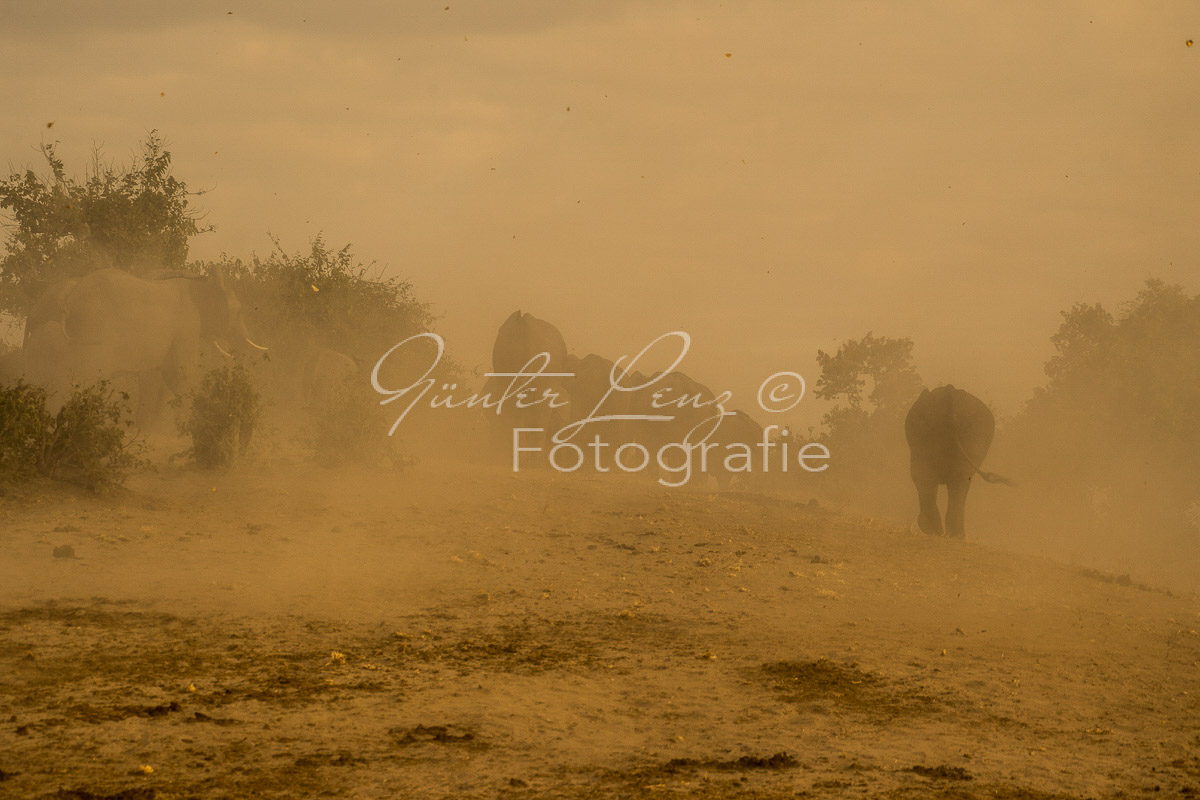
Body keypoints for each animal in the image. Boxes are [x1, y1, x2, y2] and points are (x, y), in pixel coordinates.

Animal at [902, 386, 1012, 542]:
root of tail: (950, 391)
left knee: (926, 476)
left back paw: (937, 530)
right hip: (973, 434)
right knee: (957, 480)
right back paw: (952, 533)